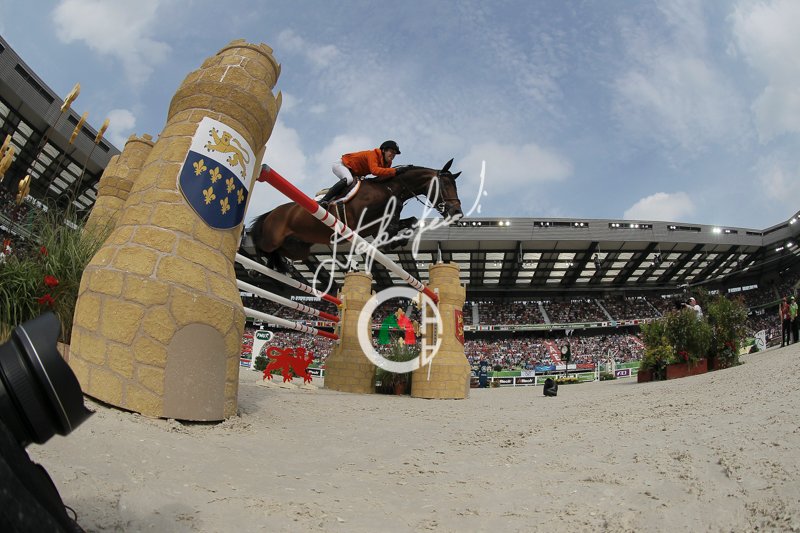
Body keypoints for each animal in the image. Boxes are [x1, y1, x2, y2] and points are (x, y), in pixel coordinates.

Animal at [250, 159, 464, 271]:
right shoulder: (363, 222)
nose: (457, 213)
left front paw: (398, 241)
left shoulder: (377, 227)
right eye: (445, 185)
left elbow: (409, 222)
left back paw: (279, 265)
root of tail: (273, 212)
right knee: (260, 243)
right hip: (271, 238)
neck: (389, 189)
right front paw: (395, 241)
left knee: (280, 252)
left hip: (299, 249)